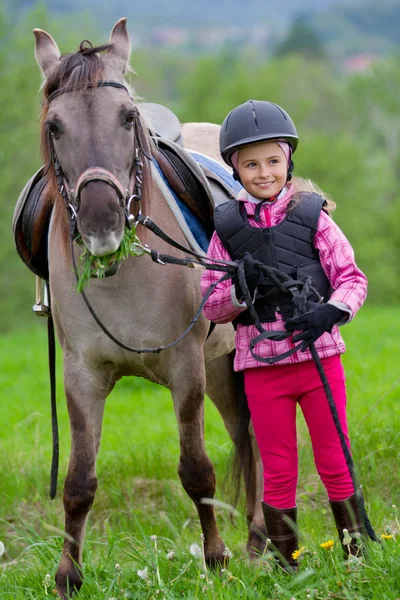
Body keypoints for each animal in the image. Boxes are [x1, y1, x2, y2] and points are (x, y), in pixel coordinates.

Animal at [32, 17, 266, 596]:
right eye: (55, 127)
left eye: (128, 116)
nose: (102, 222)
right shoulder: (82, 376)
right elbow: (78, 481)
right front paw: (68, 575)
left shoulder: (185, 370)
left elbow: (197, 470)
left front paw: (216, 560)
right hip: (222, 369)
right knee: (245, 436)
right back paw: (258, 540)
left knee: (256, 437)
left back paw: (259, 543)